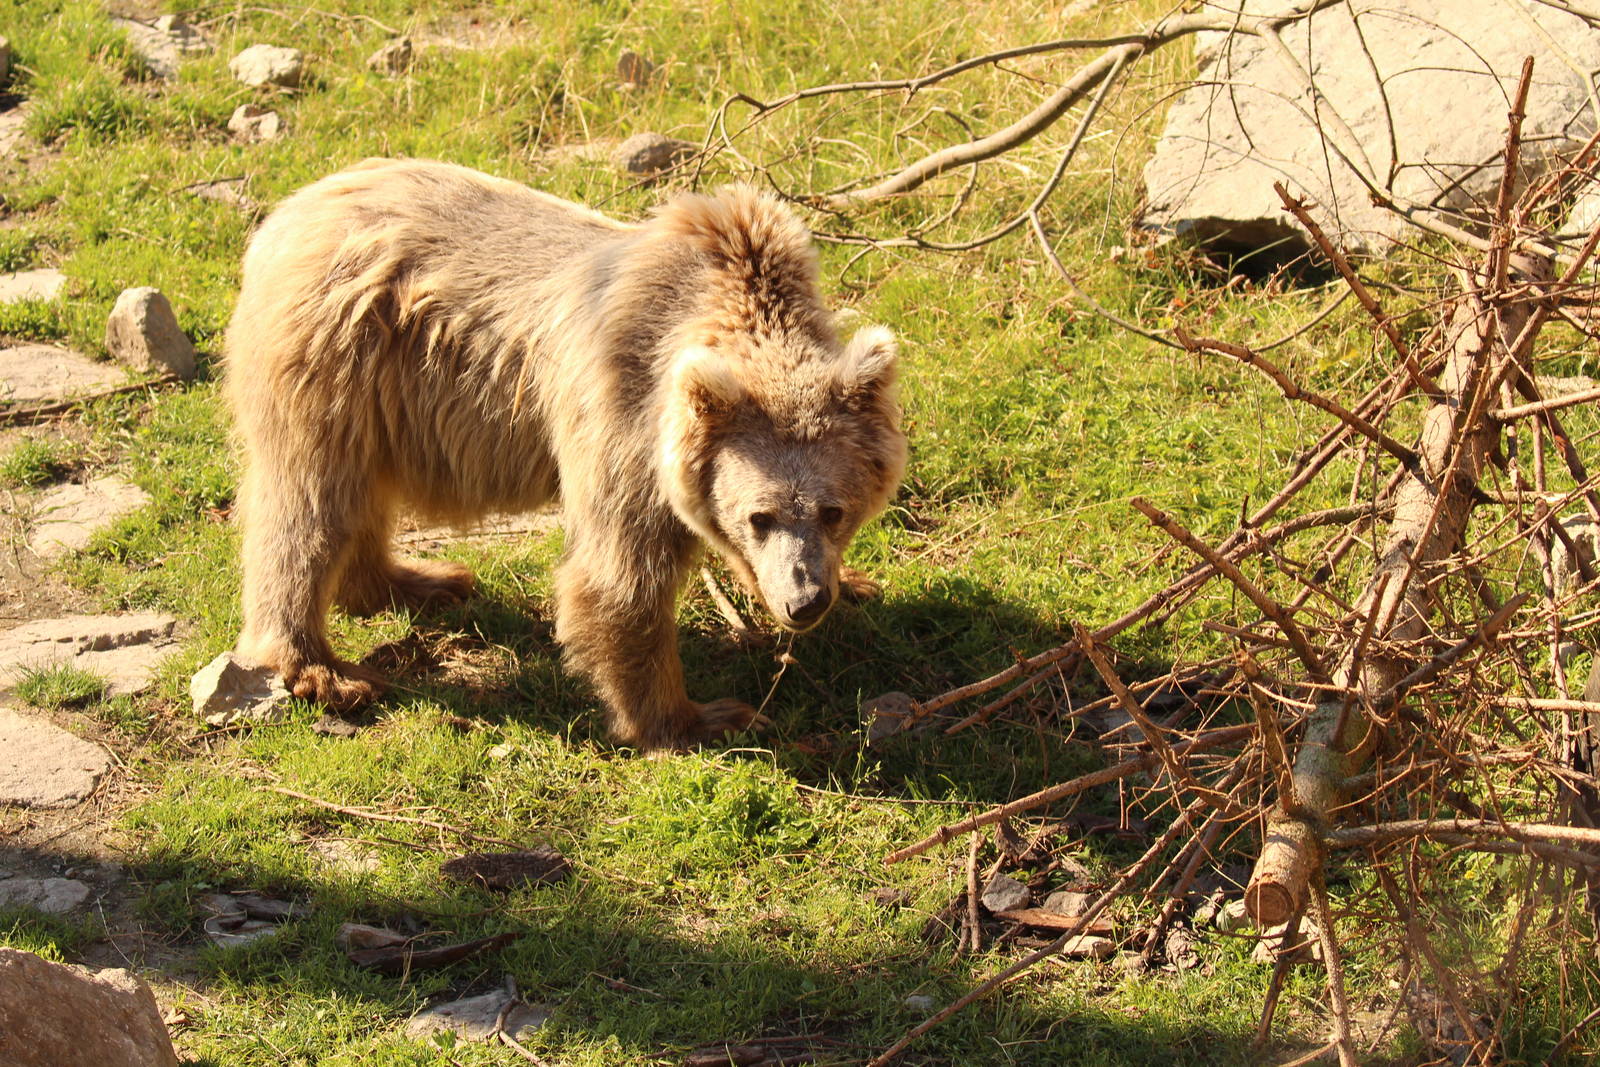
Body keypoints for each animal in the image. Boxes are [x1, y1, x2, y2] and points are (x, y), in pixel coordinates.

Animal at [223, 158, 907, 749]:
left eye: (834, 511)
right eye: (760, 515)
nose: (804, 601)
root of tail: (287, 215)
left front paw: (854, 585)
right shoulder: (624, 418)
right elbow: (617, 577)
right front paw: (699, 719)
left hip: (377, 404)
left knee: (360, 496)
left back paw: (420, 580)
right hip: (335, 359)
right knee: (309, 506)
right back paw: (322, 670)